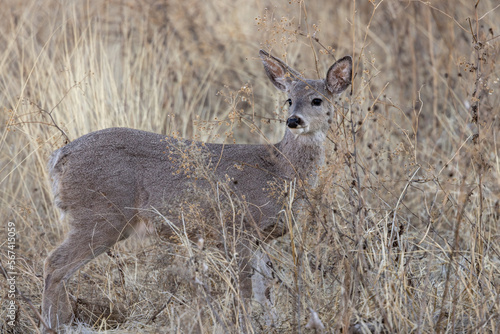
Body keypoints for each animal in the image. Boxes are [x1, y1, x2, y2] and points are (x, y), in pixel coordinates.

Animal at [41, 49, 352, 332]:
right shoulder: (237, 227)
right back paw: (55, 324)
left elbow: (266, 289)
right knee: (55, 264)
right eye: (289, 100)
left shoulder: (259, 237)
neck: (279, 169)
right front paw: (243, 325)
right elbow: (245, 290)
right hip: (101, 215)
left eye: (317, 100)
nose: (293, 120)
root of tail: (58, 158)